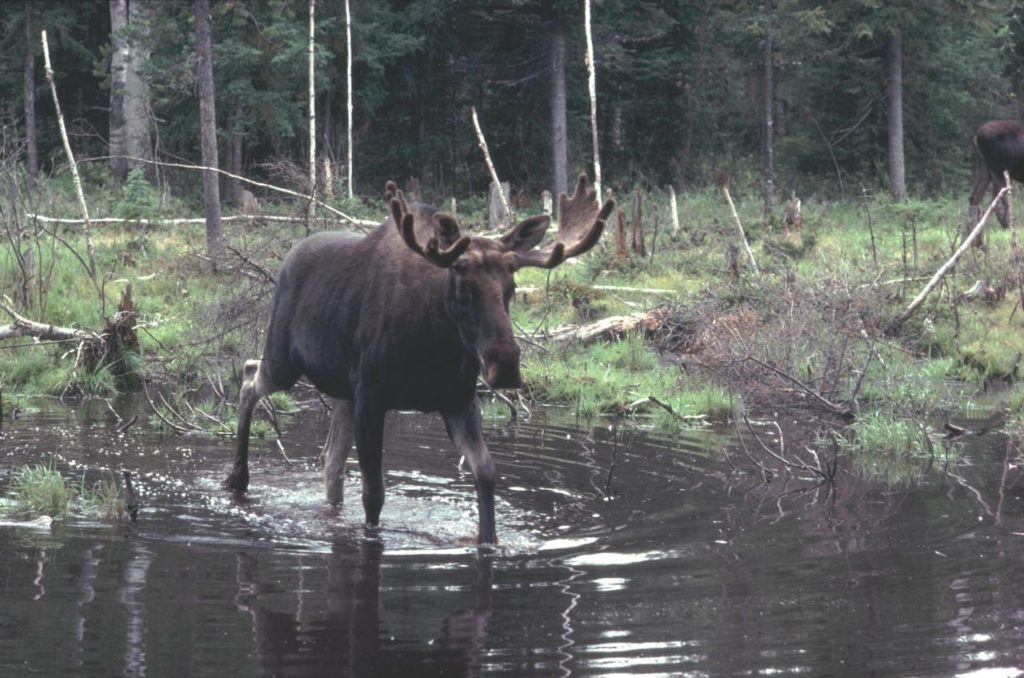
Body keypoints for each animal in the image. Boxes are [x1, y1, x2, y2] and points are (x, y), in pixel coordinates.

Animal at [228, 174, 610, 548]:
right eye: (464, 287)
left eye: (511, 288)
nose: (504, 366)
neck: (435, 346)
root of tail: (288, 258)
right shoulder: (373, 395)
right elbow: (374, 492)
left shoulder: (458, 399)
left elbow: (486, 473)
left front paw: (488, 541)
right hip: (285, 359)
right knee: (248, 376)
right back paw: (237, 477)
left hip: (343, 389)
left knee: (330, 461)